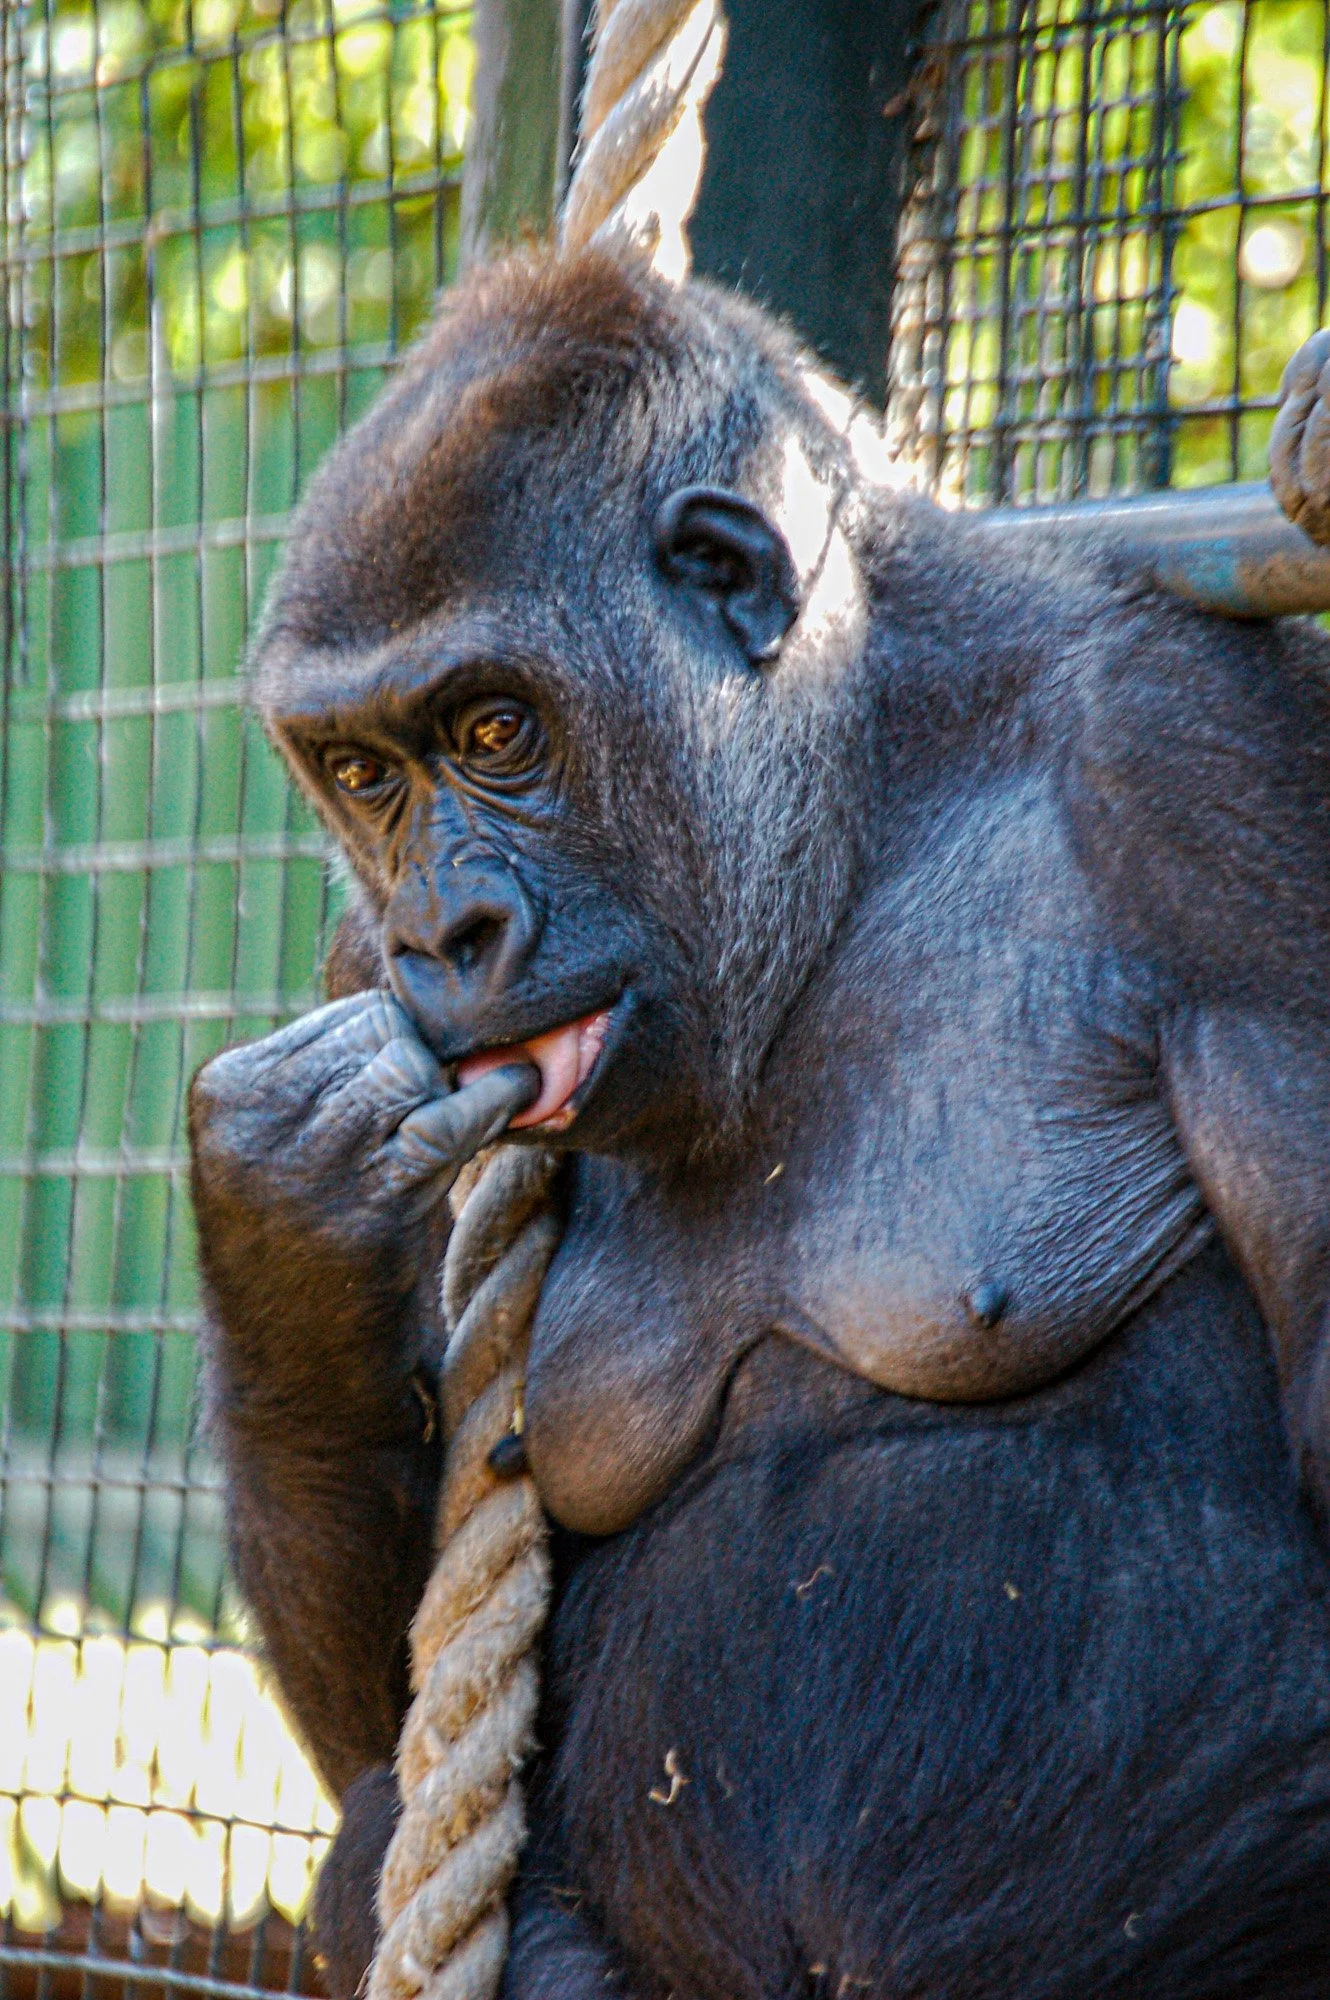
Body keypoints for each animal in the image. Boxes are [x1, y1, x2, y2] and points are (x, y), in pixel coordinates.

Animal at [189, 246, 1330, 1999]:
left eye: (495, 731)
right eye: (362, 774)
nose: (445, 937)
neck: (865, 774)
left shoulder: (1209, 768)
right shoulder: (354, 959)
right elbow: (388, 1721)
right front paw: (283, 1238)